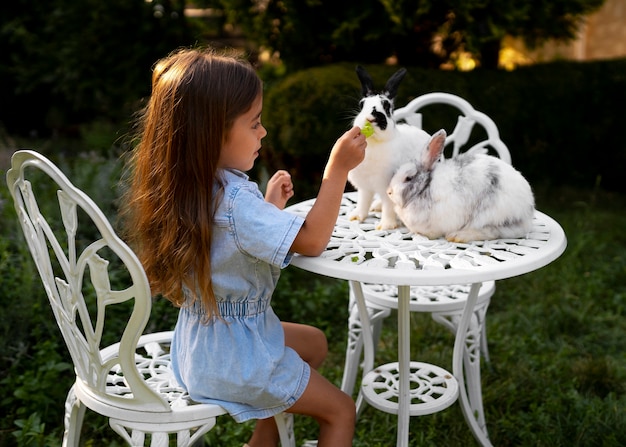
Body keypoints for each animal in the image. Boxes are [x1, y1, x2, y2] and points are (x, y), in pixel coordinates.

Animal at [346, 65, 428, 229]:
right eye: (362, 104)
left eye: (386, 105)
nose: (371, 118)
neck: (374, 142)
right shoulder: (365, 187)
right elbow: (363, 201)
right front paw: (356, 217)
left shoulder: (388, 187)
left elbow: (389, 206)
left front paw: (386, 226)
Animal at [388, 129, 532, 242]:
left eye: (408, 178)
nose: (389, 191)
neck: (425, 187)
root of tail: (527, 208)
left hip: (490, 215)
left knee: (491, 231)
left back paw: (458, 236)